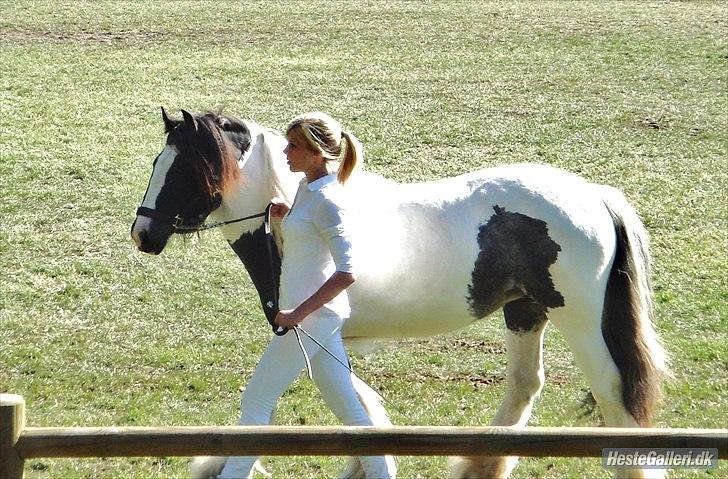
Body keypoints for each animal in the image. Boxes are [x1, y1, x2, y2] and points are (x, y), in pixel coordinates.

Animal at [129, 109, 664, 479]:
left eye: (181, 170)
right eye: (158, 161)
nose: (142, 233)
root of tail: (595, 196)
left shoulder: (304, 333)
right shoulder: (326, 340)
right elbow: (362, 403)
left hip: (579, 320)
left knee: (613, 396)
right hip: (525, 311)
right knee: (524, 385)